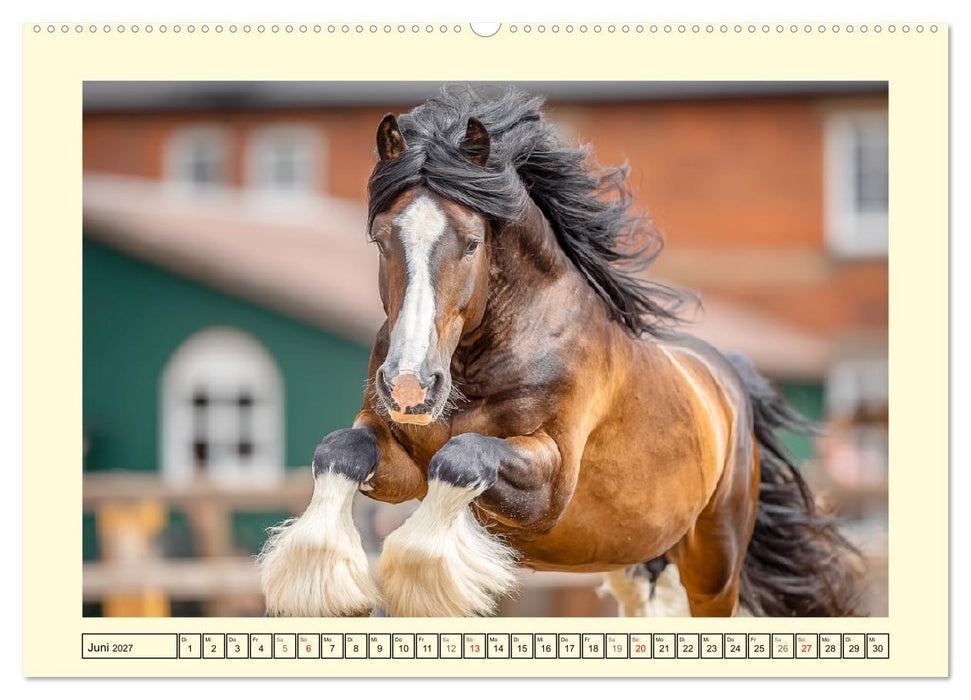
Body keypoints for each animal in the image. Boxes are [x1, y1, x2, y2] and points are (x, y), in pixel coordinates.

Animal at [258, 86, 864, 618]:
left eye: (472, 242)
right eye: (381, 238)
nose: (410, 386)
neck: (477, 363)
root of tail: (727, 380)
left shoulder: (548, 486)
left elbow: (461, 458)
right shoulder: (402, 462)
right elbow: (339, 449)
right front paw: (325, 578)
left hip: (713, 566)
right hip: (635, 560)